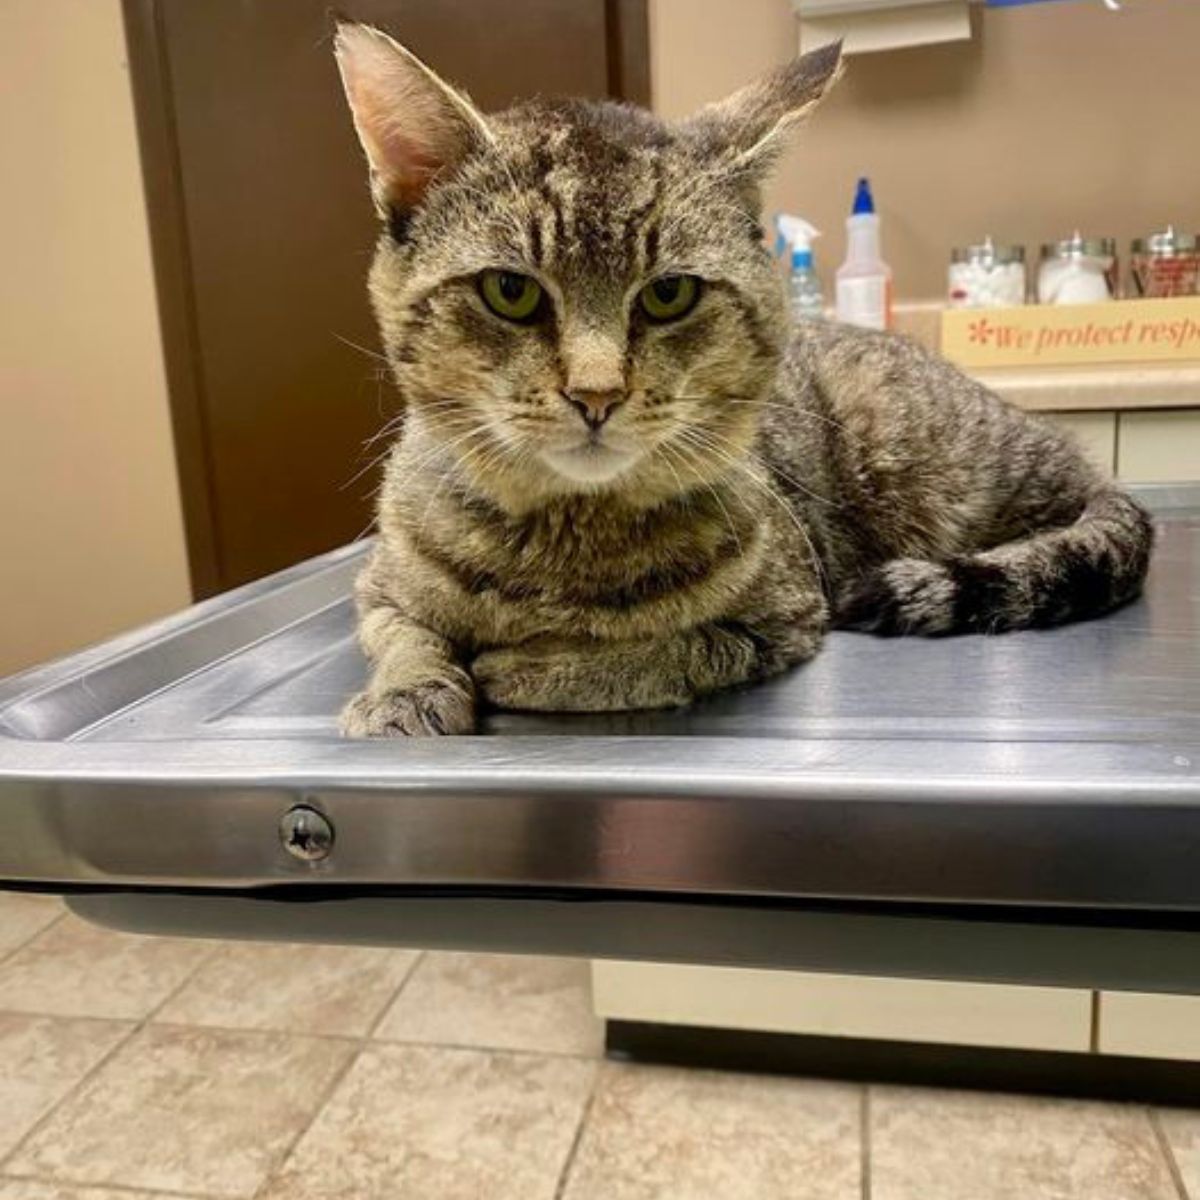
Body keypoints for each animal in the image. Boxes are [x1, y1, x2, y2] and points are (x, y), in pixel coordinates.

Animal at [328, 21, 1152, 739]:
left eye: (669, 294)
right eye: (510, 291)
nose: (597, 394)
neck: (566, 540)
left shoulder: (782, 617)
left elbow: (657, 655)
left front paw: (539, 665)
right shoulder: (375, 590)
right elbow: (406, 634)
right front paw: (406, 693)